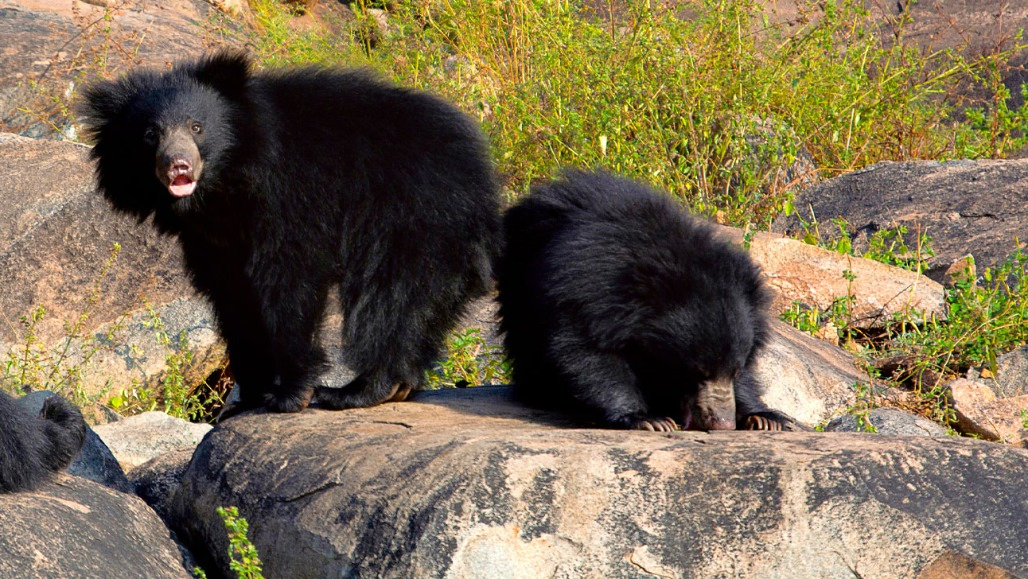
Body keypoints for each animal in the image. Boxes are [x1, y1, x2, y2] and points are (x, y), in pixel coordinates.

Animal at [77, 52, 502, 414]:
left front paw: (289, 395)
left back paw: (356, 391)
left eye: (197, 127)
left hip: (410, 218)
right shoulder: (214, 236)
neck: (226, 182)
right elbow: (234, 296)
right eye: (150, 134)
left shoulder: (290, 196)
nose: (177, 165)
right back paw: (398, 386)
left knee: (389, 300)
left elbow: (289, 281)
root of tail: (483, 176)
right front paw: (249, 397)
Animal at [497, 169, 798, 432]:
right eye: (698, 372)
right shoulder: (586, 291)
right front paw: (648, 419)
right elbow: (586, 353)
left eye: (734, 371)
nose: (722, 424)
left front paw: (764, 417)